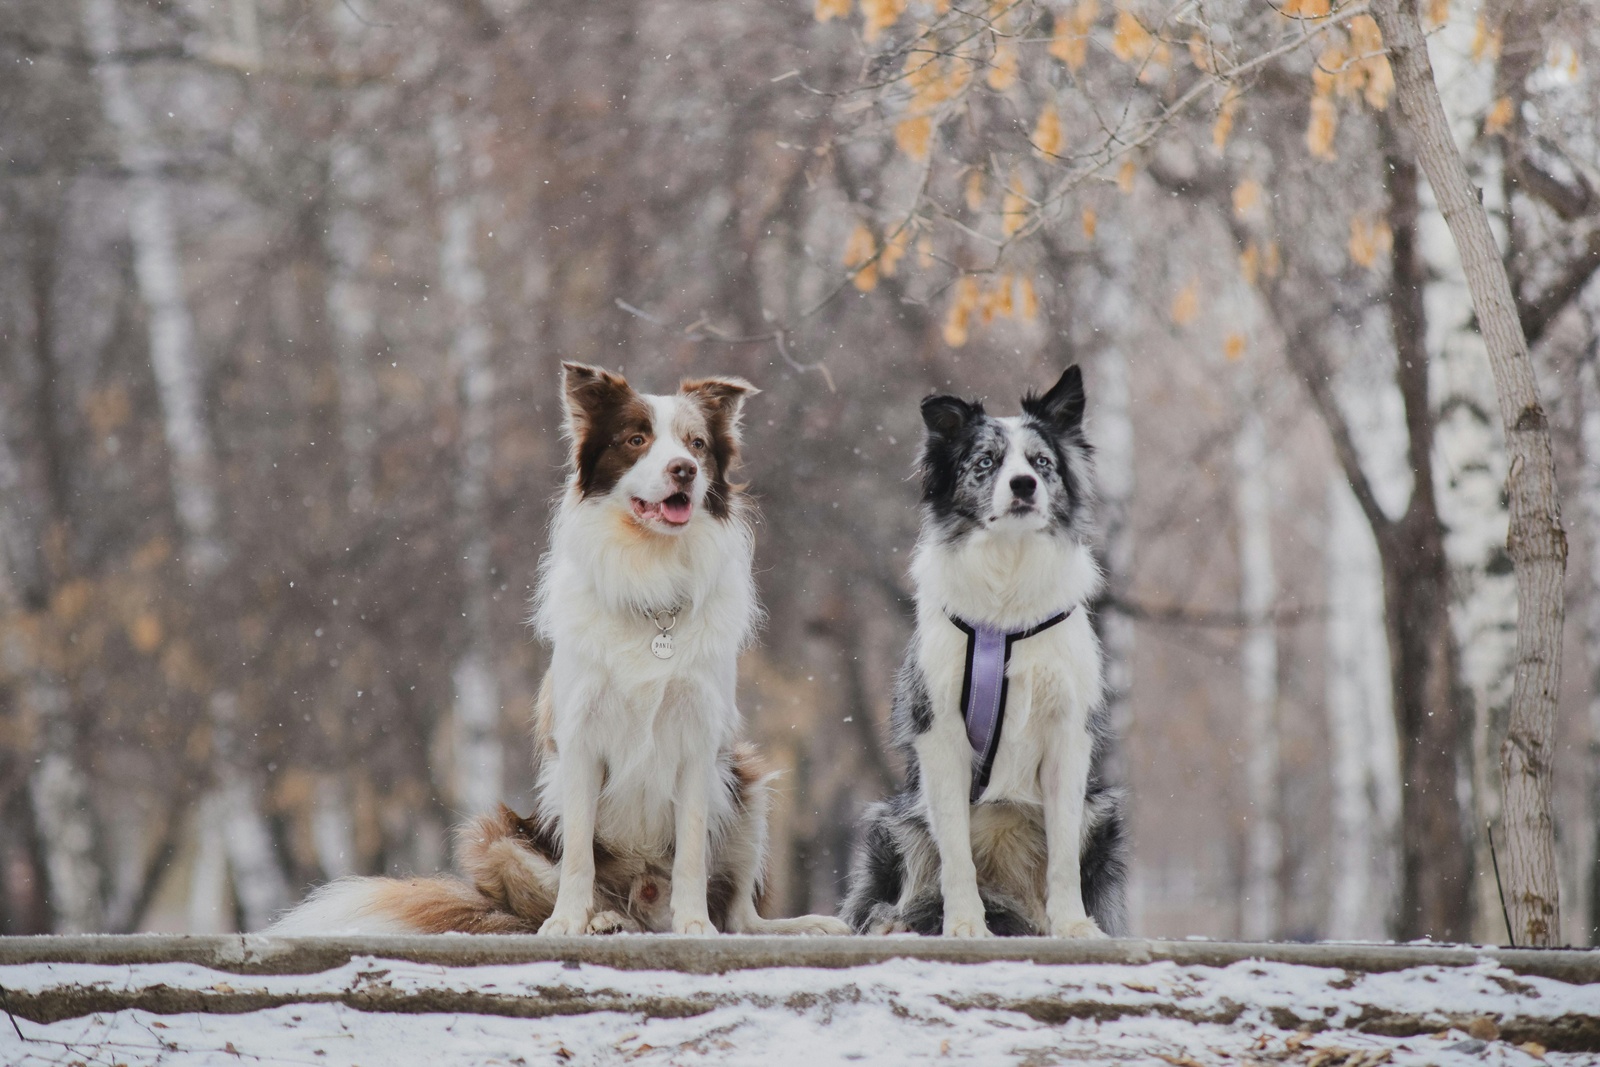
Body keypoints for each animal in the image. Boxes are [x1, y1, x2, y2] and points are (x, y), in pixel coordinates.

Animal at [272, 364, 851, 934]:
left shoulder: (699, 738)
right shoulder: (579, 738)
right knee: (568, 899)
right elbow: (577, 855)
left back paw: (796, 925)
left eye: (697, 443)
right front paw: (567, 923)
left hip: (747, 783)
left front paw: (694, 929)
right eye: (636, 440)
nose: (685, 469)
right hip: (500, 836)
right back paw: (602, 921)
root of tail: (645, 903)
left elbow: (692, 852)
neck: (651, 577)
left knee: (739, 917)